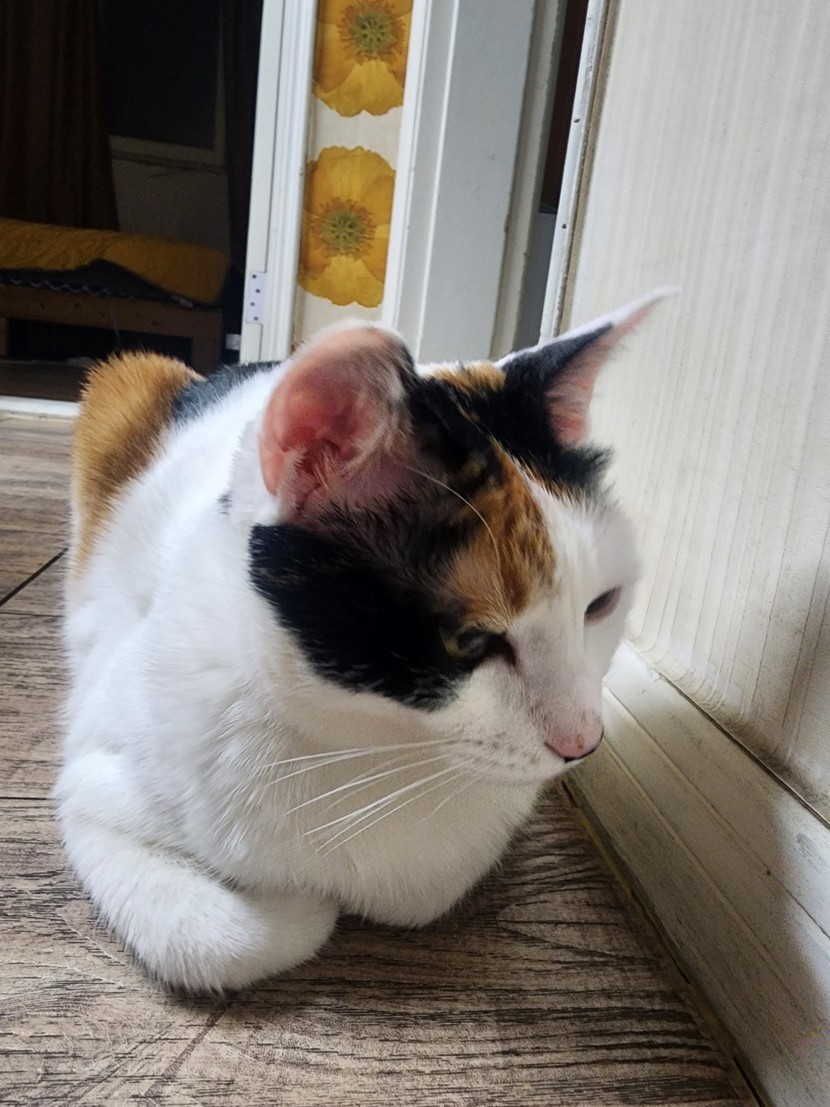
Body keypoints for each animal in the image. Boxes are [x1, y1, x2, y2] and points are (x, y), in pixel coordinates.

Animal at [56, 289, 664, 993]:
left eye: (601, 604)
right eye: (469, 640)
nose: (583, 743)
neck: (371, 749)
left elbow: (426, 890)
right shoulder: (91, 789)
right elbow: (219, 938)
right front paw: (302, 905)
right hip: (123, 381)